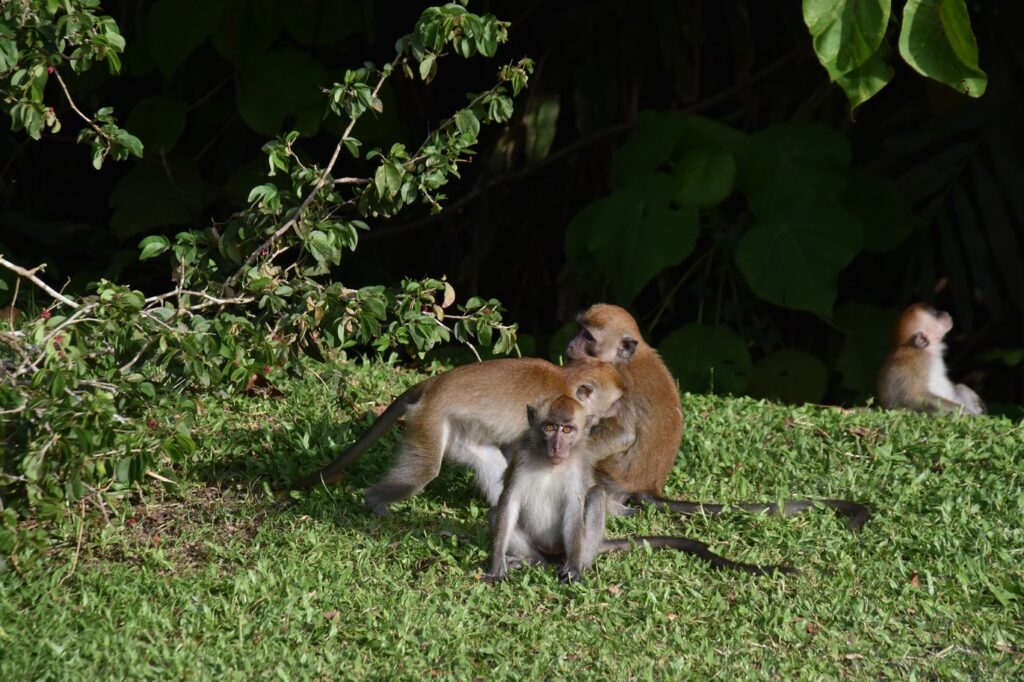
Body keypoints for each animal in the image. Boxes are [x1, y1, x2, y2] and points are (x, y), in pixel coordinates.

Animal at [288, 356, 622, 516]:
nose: (613, 414)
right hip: (430, 422)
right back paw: (375, 502)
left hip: (457, 433)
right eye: (613, 403)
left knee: (488, 461)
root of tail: (432, 384)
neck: (566, 380)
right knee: (423, 471)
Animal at [483, 395, 794, 581]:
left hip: (576, 545)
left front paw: (573, 570)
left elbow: (575, 505)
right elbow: (509, 502)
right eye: (549, 427)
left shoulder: (579, 464)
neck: (552, 463)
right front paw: (496, 566)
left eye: (567, 429)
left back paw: (578, 565)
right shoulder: (523, 455)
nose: (557, 445)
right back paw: (531, 563)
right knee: (498, 516)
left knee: (595, 496)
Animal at [569, 303, 872, 532]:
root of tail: (648, 486)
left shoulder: (617, 382)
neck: (625, 359)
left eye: (588, 337)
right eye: (579, 329)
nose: (572, 344)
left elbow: (623, 434)